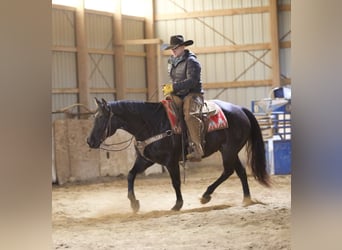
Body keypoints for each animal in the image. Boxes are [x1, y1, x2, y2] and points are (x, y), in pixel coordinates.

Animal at [87, 98, 268, 212]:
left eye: (101, 117)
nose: (89, 140)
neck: (152, 123)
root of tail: (240, 109)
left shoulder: (171, 161)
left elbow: (175, 182)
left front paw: (178, 205)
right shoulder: (146, 159)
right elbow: (131, 175)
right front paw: (134, 204)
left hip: (229, 150)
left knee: (229, 171)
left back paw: (206, 195)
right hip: (230, 151)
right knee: (240, 171)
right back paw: (246, 198)